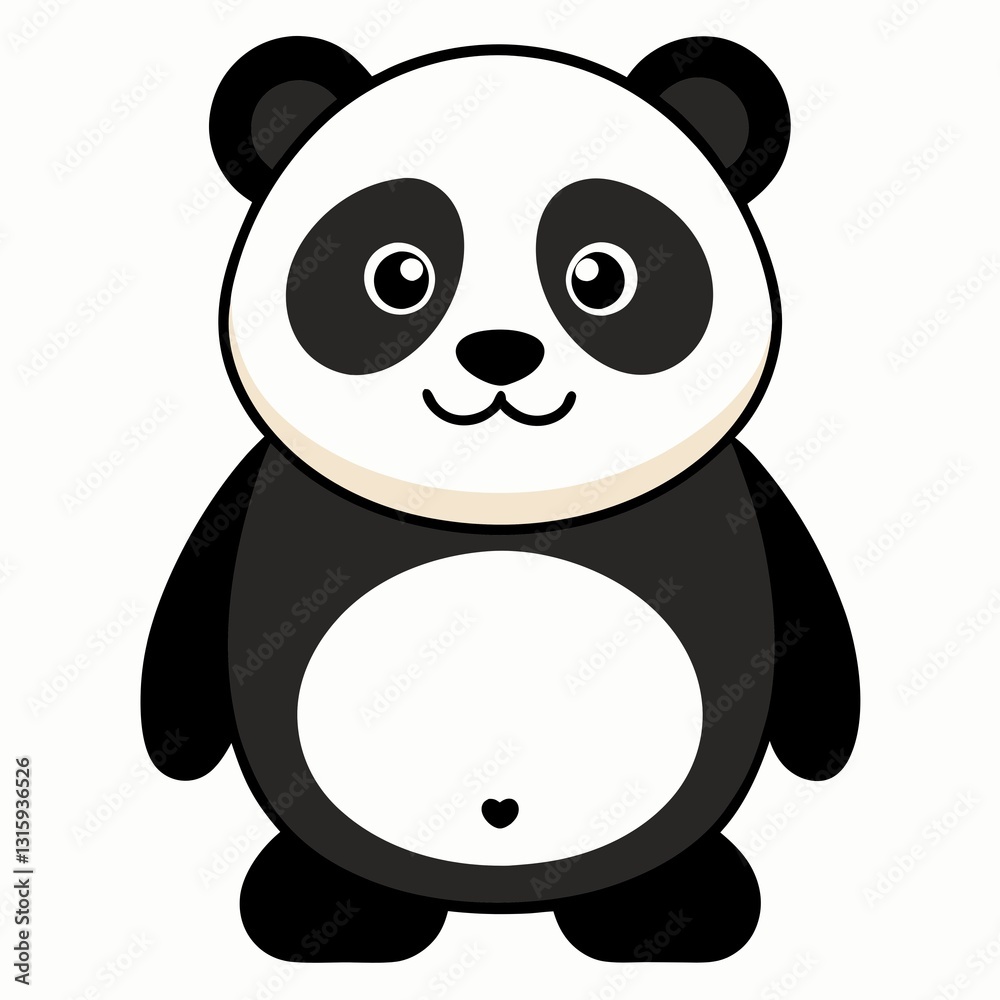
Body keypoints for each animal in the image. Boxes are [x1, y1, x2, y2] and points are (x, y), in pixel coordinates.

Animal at [142, 35, 860, 963]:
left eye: (601, 275)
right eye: (398, 275)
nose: (500, 353)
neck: (501, 498)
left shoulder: (744, 495)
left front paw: (826, 751)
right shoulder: (257, 498)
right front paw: (174, 751)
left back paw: (673, 911)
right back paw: (329, 912)